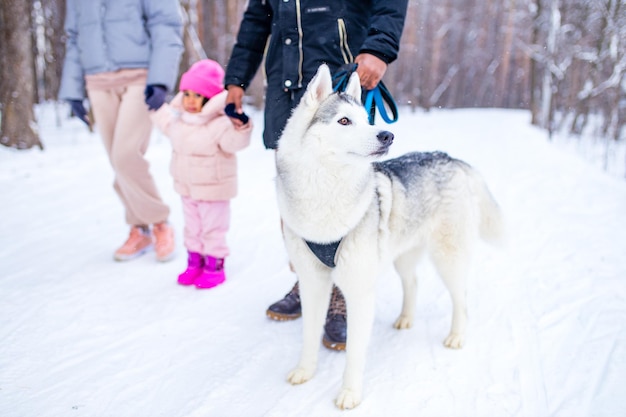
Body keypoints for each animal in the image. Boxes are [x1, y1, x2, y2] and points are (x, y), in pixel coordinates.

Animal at [272, 64, 502, 406]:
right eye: (344, 120)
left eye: (367, 119)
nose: (387, 134)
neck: (325, 194)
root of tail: (451, 158)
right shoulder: (312, 284)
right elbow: (309, 335)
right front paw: (305, 371)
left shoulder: (359, 292)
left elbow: (354, 353)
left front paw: (349, 393)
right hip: (403, 255)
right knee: (413, 282)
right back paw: (406, 318)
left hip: (447, 258)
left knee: (461, 298)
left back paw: (457, 336)